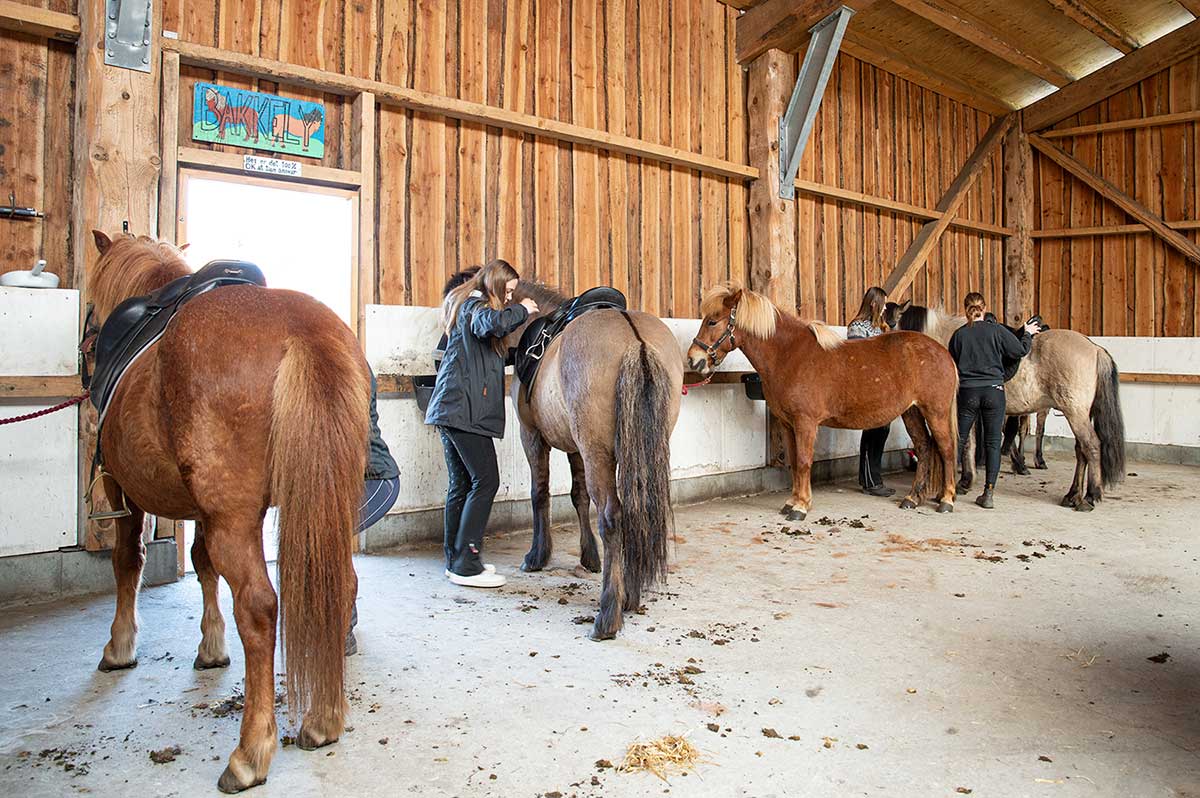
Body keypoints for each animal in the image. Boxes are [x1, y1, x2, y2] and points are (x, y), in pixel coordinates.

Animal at [87, 230, 367, 792]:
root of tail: (304, 331)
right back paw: (323, 720)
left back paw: (249, 753)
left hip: (233, 514)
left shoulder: (121, 488)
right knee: (339, 583)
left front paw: (120, 647)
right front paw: (211, 648)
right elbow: (199, 562)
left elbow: (128, 562)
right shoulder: (205, 507)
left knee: (259, 606)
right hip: (325, 504)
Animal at [686, 283, 955, 520]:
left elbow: (805, 462)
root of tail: (943, 352)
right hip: (912, 412)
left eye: (712, 321)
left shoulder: (805, 422)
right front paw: (792, 502)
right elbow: (795, 463)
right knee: (924, 447)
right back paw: (912, 498)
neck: (790, 354)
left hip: (935, 412)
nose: (693, 360)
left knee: (946, 449)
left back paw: (946, 500)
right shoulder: (788, 424)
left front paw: (800, 507)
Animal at [883, 298, 1123, 511]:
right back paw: (1072, 495)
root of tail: (1095, 348)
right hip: (1079, 413)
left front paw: (959, 484)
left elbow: (965, 443)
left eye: (890, 323)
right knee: (1081, 451)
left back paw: (1090, 495)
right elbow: (970, 443)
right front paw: (966, 481)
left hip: (1075, 412)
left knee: (1091, 446)